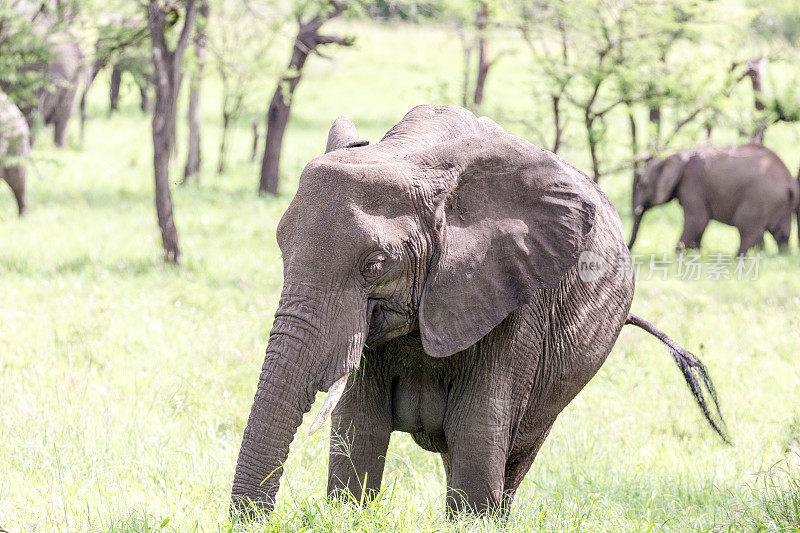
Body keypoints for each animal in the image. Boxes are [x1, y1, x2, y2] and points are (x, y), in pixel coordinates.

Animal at [230, 106, 724, 516]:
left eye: (374, 265)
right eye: (281, 249)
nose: (255, 519)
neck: (415, 158)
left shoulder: (514, 296)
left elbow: (479, 430)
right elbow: (358, 426)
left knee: (514, 452)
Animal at [628, 143, 796, 256]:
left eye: (642, 185)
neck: (676, 155)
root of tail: (789, 180)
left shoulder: (692, 183)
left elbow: (697, 220)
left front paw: (679, 257)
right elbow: (700, 223)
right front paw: (695, 255)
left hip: (760, 198)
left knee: (746, 227)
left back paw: (738, 259)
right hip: (781, 202)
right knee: (781, 233)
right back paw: (780, 256)